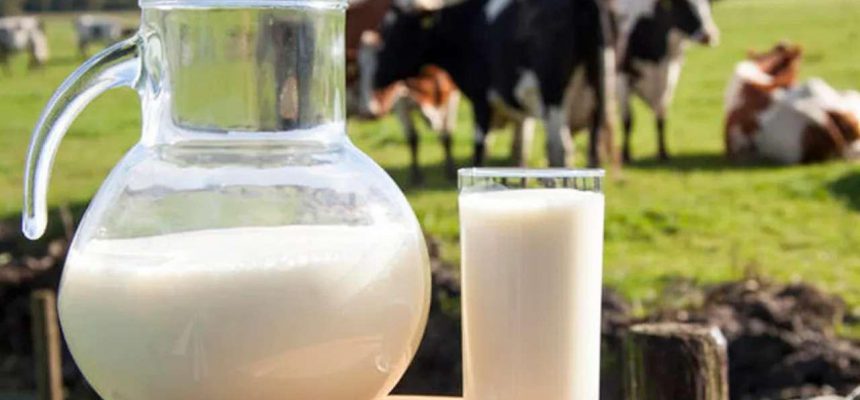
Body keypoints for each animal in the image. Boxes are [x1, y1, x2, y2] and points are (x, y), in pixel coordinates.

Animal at [347, 0, 461, 183]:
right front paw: (416, 177)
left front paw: (450, 171)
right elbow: (413, 138)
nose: (370, 111)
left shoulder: (453, 94)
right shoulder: (401, 101)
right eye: (360, 69)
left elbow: (447, 135)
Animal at [358, 0, 618, 168]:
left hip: (553, 94)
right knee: (592, 148)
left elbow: (480, 147)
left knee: (561, 150)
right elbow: (519, 154)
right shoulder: (520, 111)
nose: (376, 76)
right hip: (600, 91)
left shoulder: (481, 98)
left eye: (395, 31)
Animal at [615, 0, 720, 162]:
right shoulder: (622, 78)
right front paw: (626, 155)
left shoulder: (668, 79)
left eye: (710, 5)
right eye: (684, 6)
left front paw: (663, 152)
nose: (709, 36)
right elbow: (628, 121)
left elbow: (661, 119)